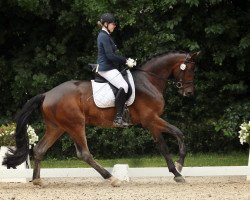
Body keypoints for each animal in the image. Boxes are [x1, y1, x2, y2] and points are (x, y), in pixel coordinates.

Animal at [2, 50, 199, 187]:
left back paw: (37, 180)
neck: (149, 80)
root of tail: (47, 94)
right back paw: (111, 178)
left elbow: (172, 139)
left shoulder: (153, 121)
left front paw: (178, 169)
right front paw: (178, 170)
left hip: (57, 127)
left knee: (40, 150)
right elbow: (171, 140)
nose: (189, 92)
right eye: (189, 69)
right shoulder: (151, 120)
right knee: (84, 153)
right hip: (75, 125)